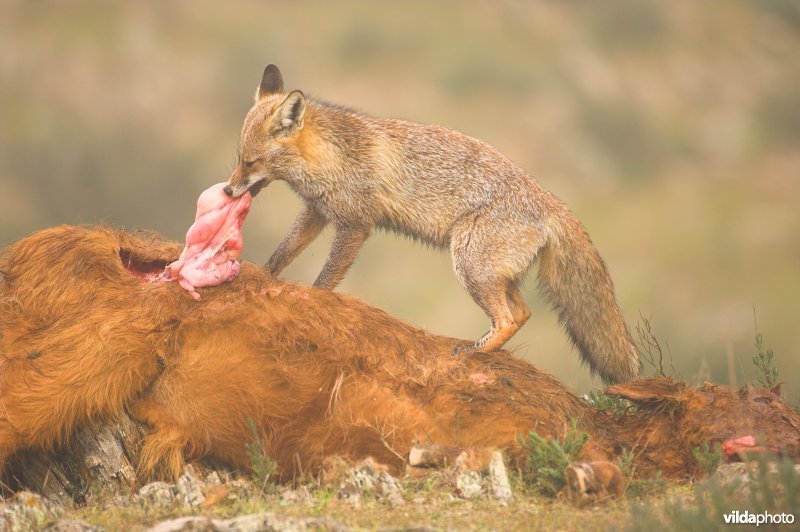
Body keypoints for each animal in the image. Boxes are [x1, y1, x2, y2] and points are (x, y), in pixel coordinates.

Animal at [222, 64, 640, 384]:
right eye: (239, 158)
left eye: (250, 162)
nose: (227, 190)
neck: (332, 157)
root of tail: (551, 201)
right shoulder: (317, 211)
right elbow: (282, 253)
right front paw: (262, 276)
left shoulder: (355, 223)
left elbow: (325, 281)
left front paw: (314, 302)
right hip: (492, 272)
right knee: (522, 313)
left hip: (469, 264)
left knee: (507, 318)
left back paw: (471, 352)